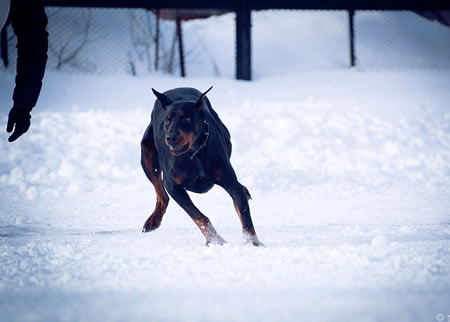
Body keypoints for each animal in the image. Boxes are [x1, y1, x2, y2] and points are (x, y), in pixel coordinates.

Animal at [141, 87, 264, 245]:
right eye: (167, 120)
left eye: (187, 119)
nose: (170, 138)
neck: (194, 154)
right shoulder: (173, 187)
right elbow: (198, 216)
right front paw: (216, 240)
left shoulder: (230, 183)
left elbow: (243, 211)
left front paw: (253, 243)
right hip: (147, 154)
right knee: (162, 195)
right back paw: (153, 221)